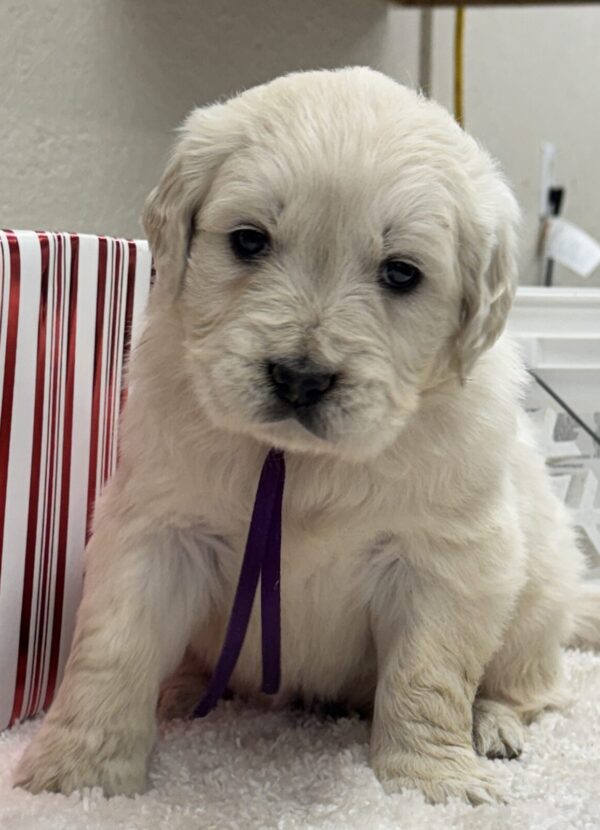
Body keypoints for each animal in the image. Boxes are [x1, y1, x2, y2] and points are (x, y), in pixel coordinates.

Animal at [15, 68, 600, 808]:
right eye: (249, 241)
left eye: (401, 272)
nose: (299, 379)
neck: (300, 460)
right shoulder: (159, 527)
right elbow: (113, 650)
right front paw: (78, 778)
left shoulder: (446, 556)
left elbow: (427, 674)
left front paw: (431, 782)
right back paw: (180, 691)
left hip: (538, 598)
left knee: (532, 685)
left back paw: (491, 726)